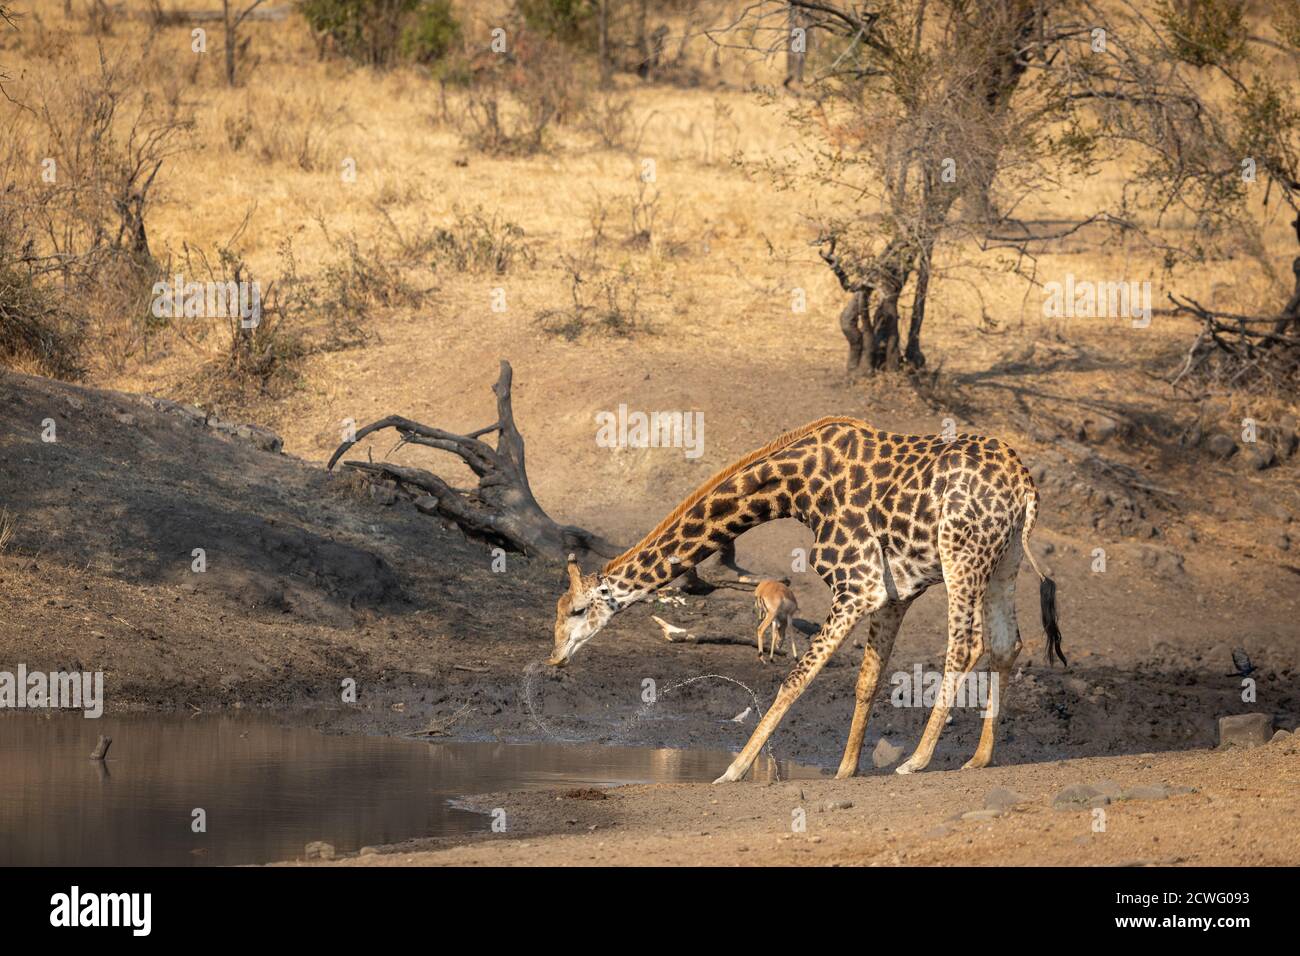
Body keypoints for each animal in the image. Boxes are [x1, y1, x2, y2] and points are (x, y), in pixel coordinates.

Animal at [548, 416, 1066, 785]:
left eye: (577, 610)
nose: (554, 657)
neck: (795, 489)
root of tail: (1024, 485)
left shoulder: (858, 584)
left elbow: (795, 678)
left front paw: (733, 770)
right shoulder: (892, 592)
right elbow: (867, 679)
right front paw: (845, 769)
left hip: (961, 552)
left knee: (966, 644)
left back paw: (918, 760)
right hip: (1003, 557)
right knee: (1006, 644)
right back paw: (979, 758)